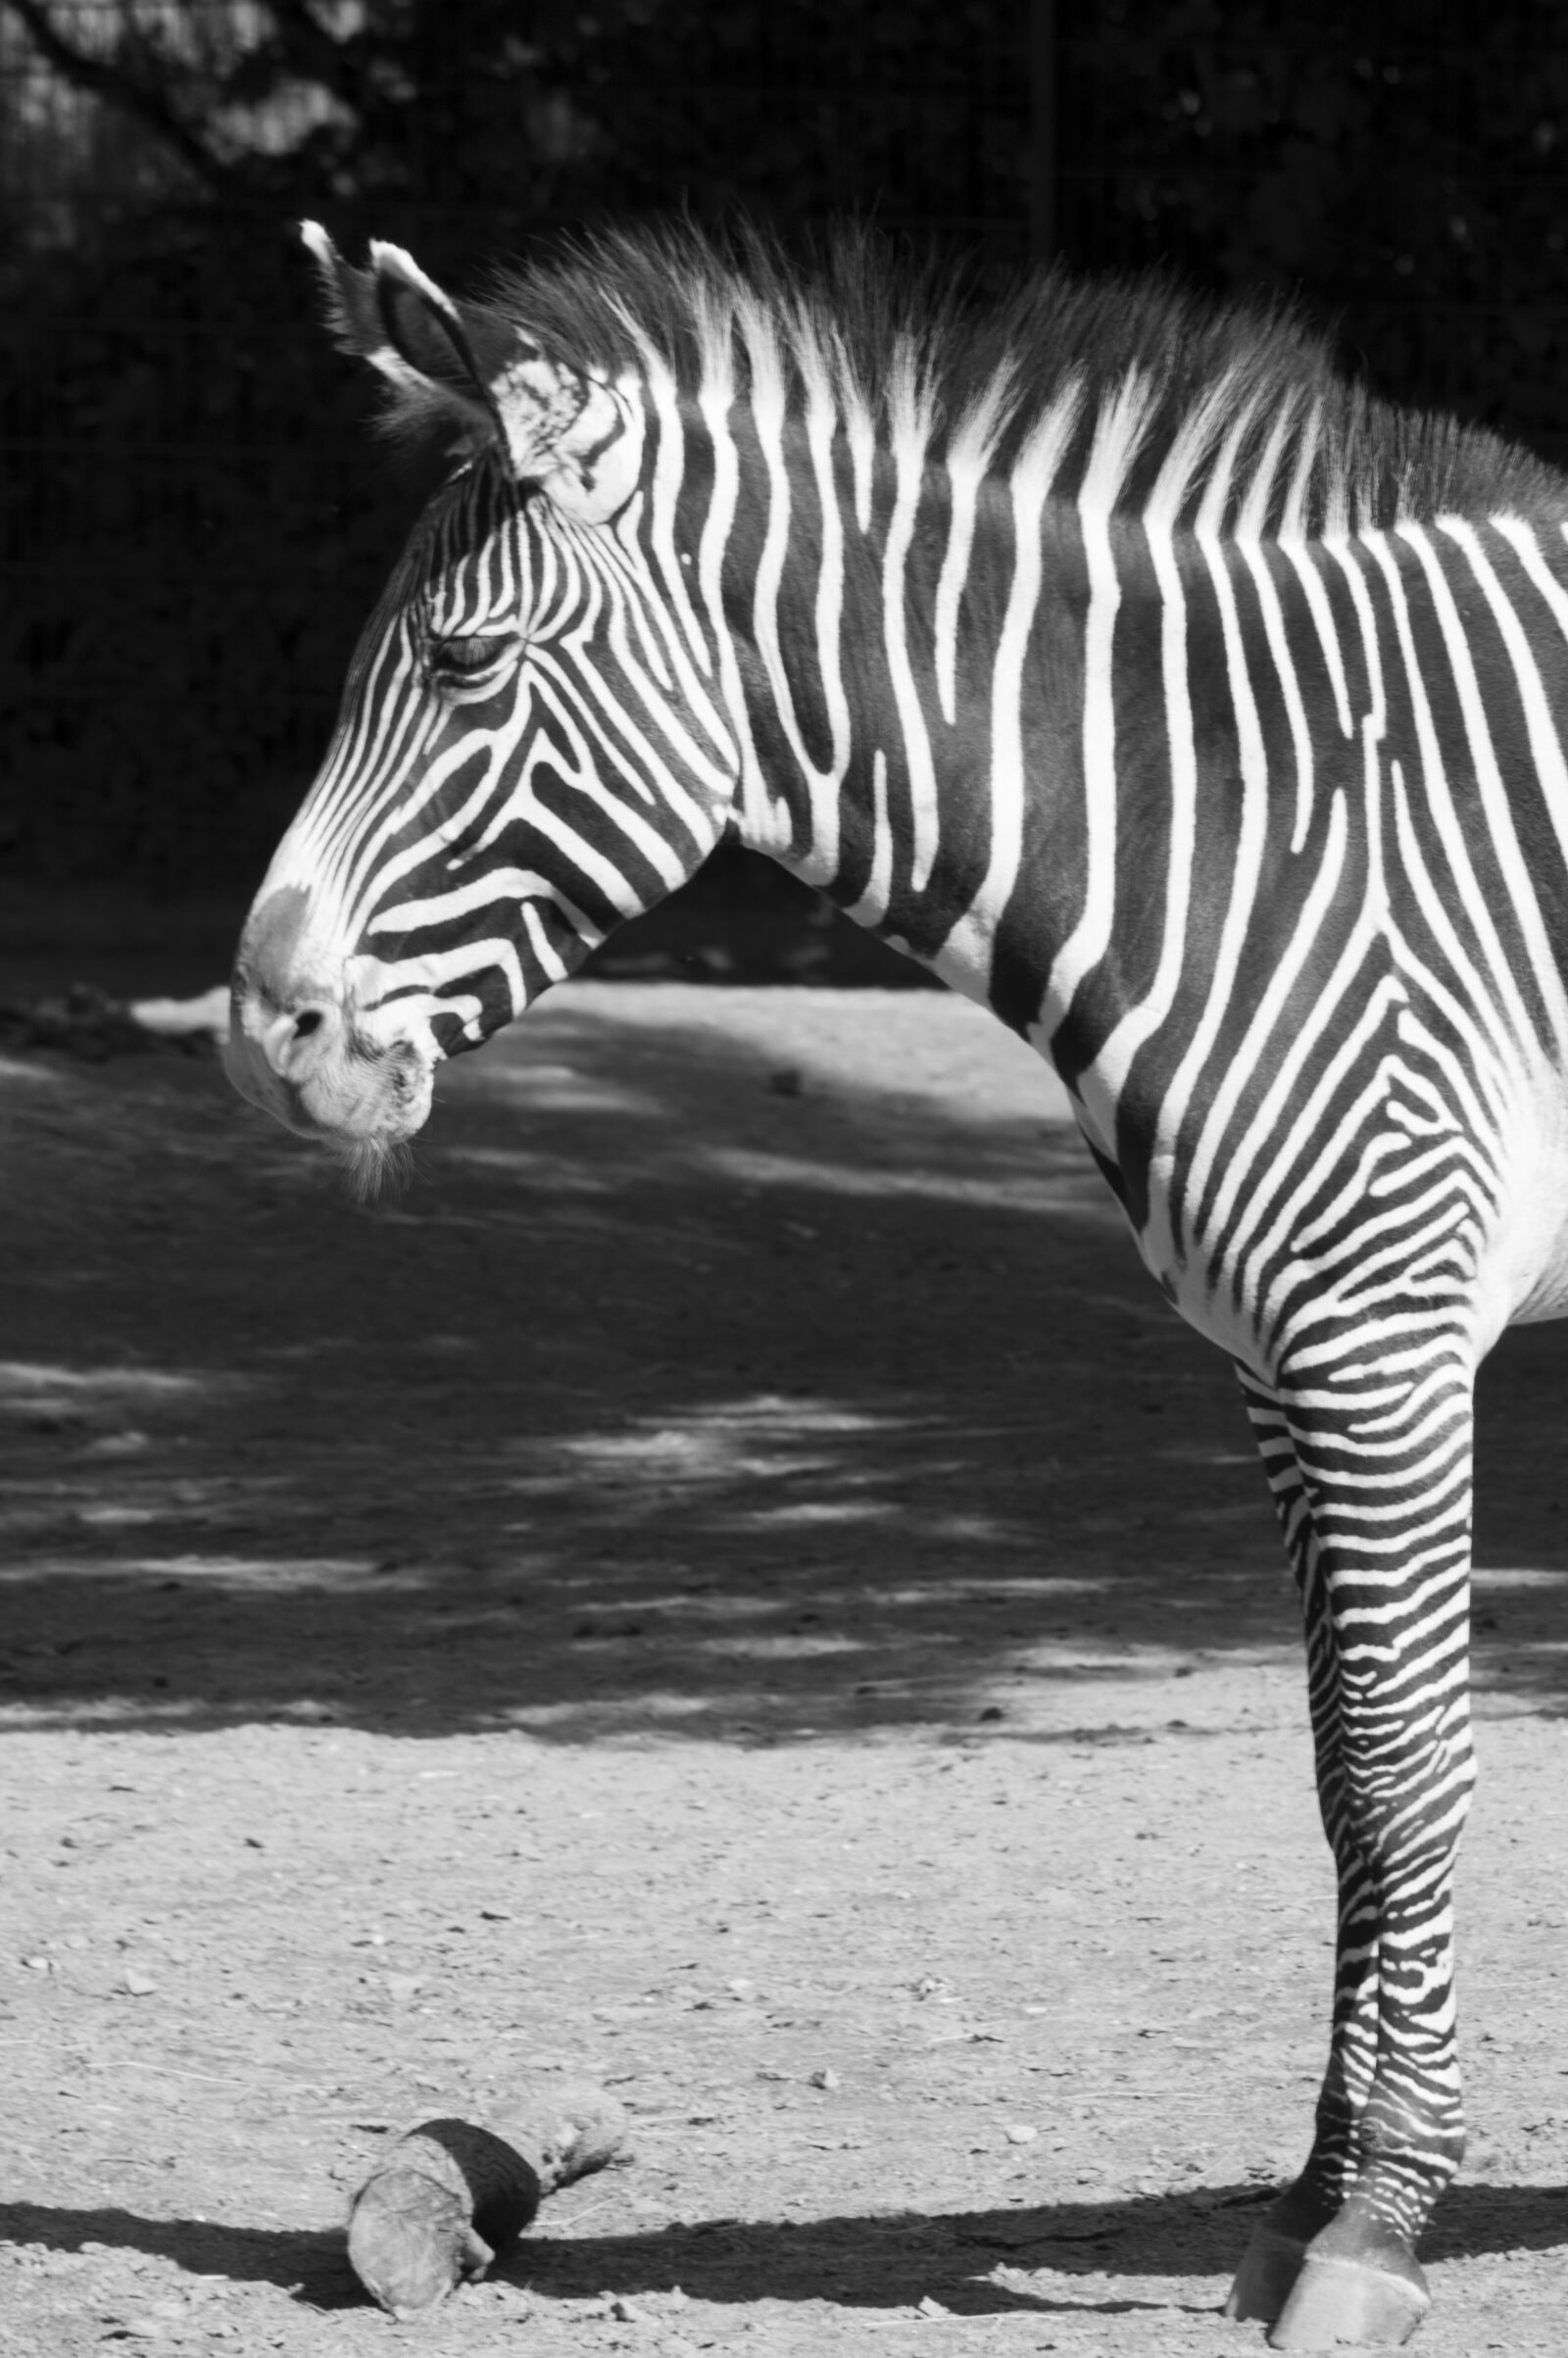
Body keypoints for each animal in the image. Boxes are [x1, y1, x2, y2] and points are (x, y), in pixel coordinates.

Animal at [227, 220, 1568, 2349]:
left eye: (460, 667)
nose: (255, 1037)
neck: (1259, 826)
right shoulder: (1273, 1354)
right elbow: (1339, 1786)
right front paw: (1305, 2205)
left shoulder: (1379, 1327)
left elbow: (1401, 1763)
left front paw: (1372, 2228)